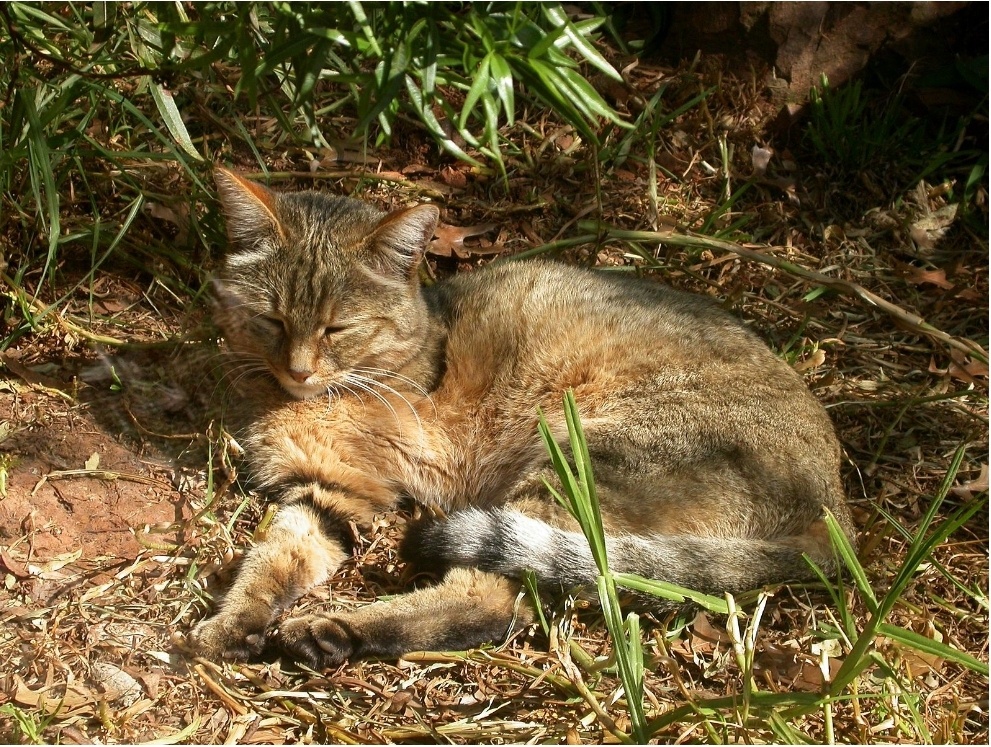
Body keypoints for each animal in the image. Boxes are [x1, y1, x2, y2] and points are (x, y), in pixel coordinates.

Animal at [190, 168, 856, 668]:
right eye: (272, 320)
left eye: (337, 328)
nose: (299, 370)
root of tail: (836, 514)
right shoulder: (329, 489)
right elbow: (272, 558)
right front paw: (230, 623)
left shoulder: (383, 477)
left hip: (577, 457)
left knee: (493, 597)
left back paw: (334, 631)